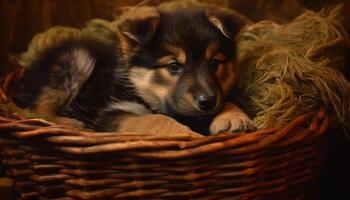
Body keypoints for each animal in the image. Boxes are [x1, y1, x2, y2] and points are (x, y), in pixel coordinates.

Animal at [13, 3, 256, 134]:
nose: (207, 102)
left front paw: (233, 116)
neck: (138, 88)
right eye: (173, 66)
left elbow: (226, 100)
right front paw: (184, 134)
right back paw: (70, 124)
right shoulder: (112, 113)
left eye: (214, 62)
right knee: (39, 108)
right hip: (76, 59)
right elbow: (153, 119)